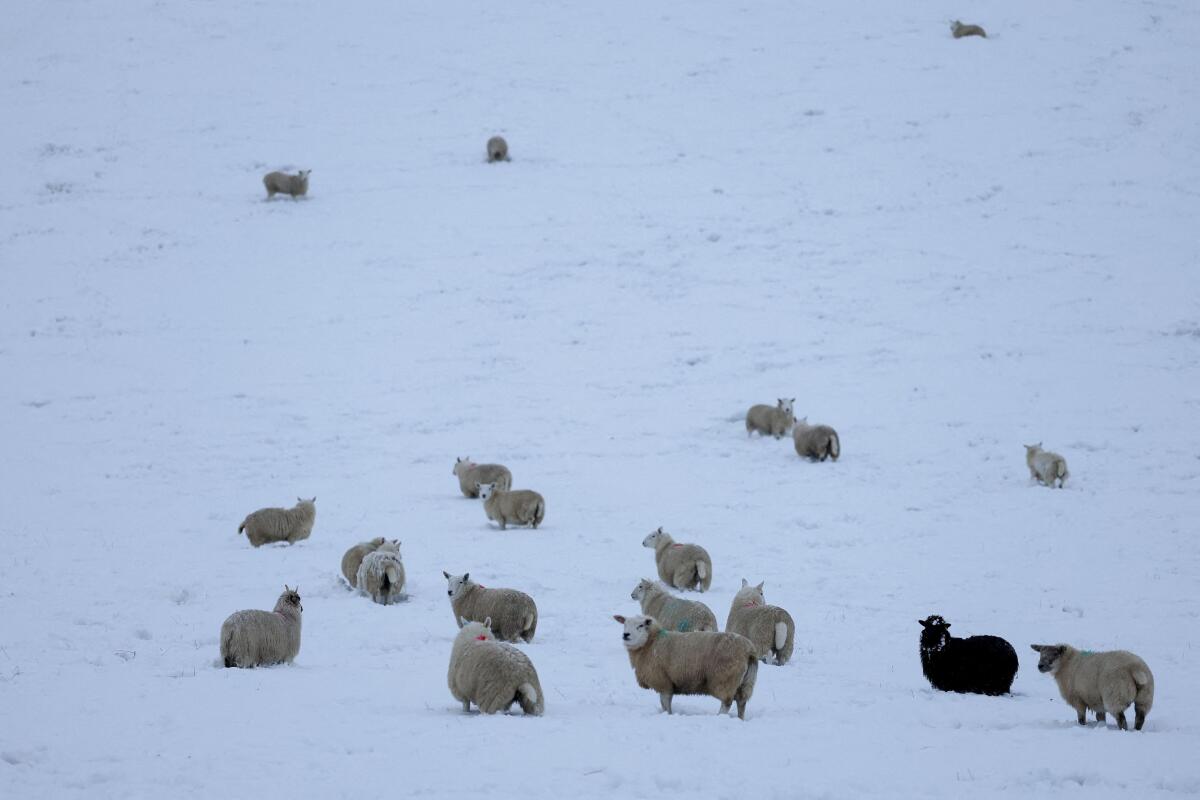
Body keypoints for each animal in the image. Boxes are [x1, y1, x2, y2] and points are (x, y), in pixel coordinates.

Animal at [613, 614, 758, 719]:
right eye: (624, 624)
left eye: (641, 625)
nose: (625, 635)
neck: (650, 643)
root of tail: (749, 650)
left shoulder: (663, 682)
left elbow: (665, 703)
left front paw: (668, 715)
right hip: (746, 682)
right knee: (741, 702)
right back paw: (740, 719)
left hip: (725, 680)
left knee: (726, 703)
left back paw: (719, 717)